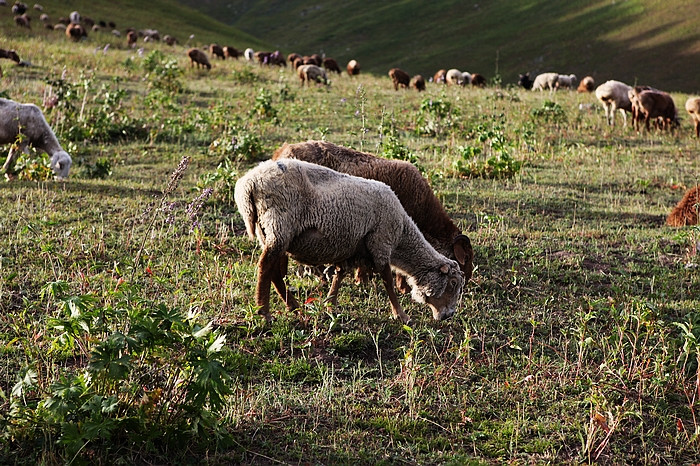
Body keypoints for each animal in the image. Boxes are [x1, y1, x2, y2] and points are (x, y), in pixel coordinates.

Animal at [235, 157, 464, 324]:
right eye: (453, 283)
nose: (449, 315)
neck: (401, 235)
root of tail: (249, 184)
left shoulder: (352, 249)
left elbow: (340, 274)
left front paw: (330, 304)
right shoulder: (381, 241)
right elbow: (387, 280)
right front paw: (401, 315)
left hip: (270, 232)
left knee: (275, 272)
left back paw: (293, 306)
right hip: (279, 225)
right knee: (265, 266)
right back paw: (264, 313)